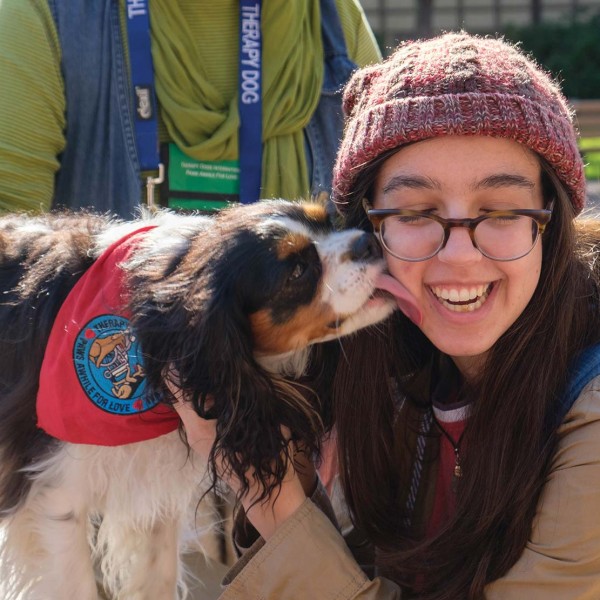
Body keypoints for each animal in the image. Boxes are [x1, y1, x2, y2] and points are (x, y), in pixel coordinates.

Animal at [0, 203, 396, 600]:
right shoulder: (57, 494)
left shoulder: (156, 487)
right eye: (296, 271)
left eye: (327, 221)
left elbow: (158, 577)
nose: (368, 241)